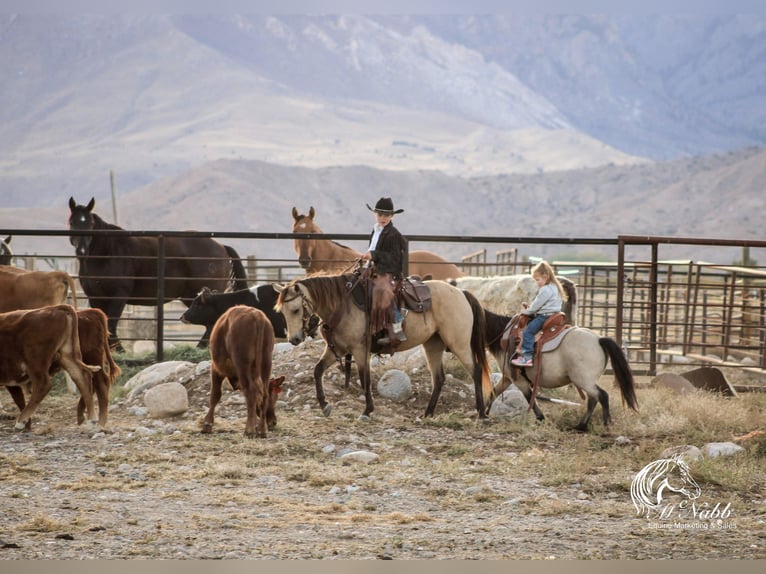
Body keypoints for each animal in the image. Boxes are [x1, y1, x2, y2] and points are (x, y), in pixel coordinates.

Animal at [68, 198, 248, 352]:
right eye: (72, 222)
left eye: (90, 223)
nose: (81, 251)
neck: (107, 253)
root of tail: (221, 246)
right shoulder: (95, 296)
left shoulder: (119, 296)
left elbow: (111, 324)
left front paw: (120, 351)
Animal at [204, 308, 284, 438]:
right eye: (275, 396)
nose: (273, 421)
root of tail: (257, 315)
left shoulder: (216, 368)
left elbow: (215, 395)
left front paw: (207, 424)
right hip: (266, 362)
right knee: (263, 394)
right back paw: (262, 430)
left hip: (242, 364)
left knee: (251, 391)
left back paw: (249, 430)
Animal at [276, 272, 492, 420]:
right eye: (283, 312)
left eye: (295, 310)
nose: (294, 339)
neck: (343, 306)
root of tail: (461, 293)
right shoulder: (336, 349)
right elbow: (317, 370)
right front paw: (324, 405)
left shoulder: (359, 350)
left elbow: (365, 379)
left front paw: (367, 410)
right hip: (433, 345)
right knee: (438, 379)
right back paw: (427, 413)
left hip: (459, 343)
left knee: (476, 371)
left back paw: (481, 413)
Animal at [486, 310, 640, 432]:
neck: (504, 337)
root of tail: (598, 339)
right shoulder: (507, 378)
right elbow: (493, 392)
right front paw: (484, 413)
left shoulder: (519, 381)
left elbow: (530, 398)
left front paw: (541, 418)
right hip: (587, 381)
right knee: (593, 399)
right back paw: (581, 426)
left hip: (584, 380)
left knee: (602, 396)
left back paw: (606, 424)